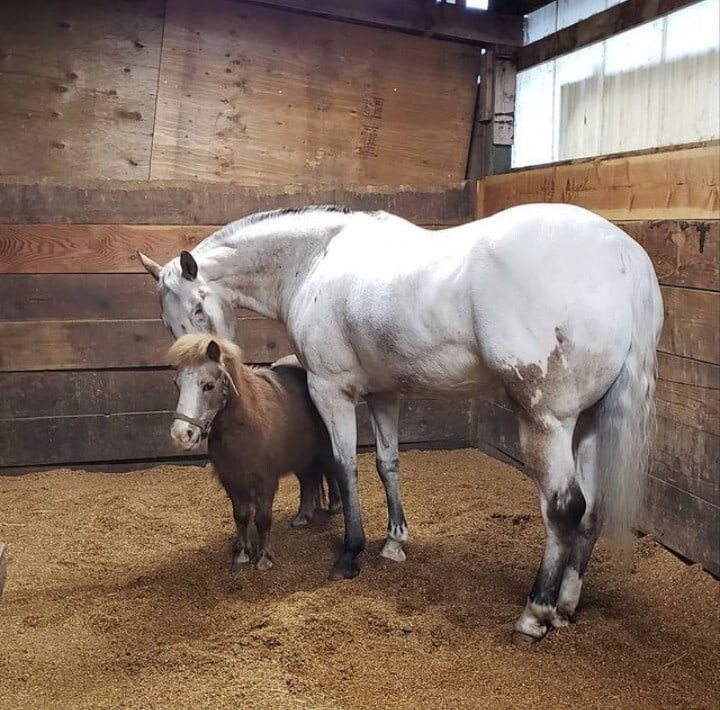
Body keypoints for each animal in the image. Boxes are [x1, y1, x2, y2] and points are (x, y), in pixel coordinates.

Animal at [167, 336, 342, 572]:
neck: (246, 426)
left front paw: (263, 558)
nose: (181, 434)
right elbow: (241, 516)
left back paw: (335, 506)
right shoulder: (231, 481)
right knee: (307, 481)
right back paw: (303, 517)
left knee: (331, 472)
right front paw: (242, 555)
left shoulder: (265, 483)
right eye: (177, 383)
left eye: (208, 385)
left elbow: (263, 519)